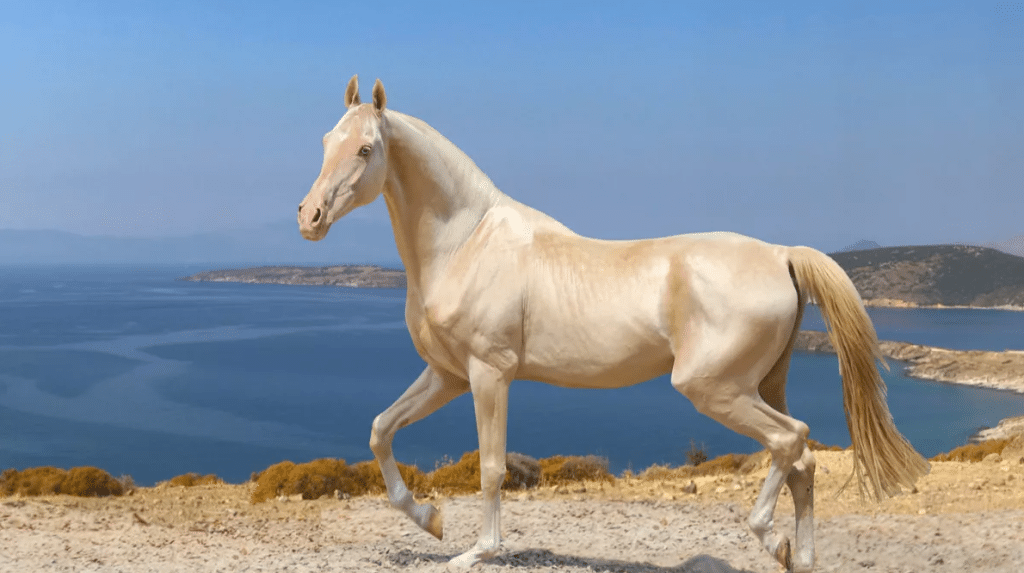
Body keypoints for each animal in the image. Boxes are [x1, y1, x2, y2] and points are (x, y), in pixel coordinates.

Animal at [296, 75, 929, 572]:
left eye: (366, 149)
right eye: (326, 140)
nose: (310, 217)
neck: (465, 242)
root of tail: (782, 255)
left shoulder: (488, 374)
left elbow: (492, 467)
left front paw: (475, 551)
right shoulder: (447, 375)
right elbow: (381, 430)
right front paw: (429, 520)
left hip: (715, 388)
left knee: (789, 439)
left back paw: (768, 538)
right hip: (761, 384)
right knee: (803, 460)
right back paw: (798, 555)